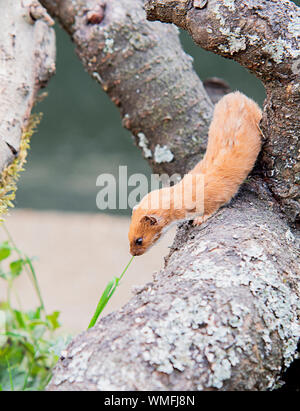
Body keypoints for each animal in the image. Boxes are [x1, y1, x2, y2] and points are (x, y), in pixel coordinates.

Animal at [127, 91, 262, 256]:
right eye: (128, 236)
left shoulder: (215, 194)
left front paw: (200, 218)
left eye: (139, 240)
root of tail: (235, 94)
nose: (132, 253)